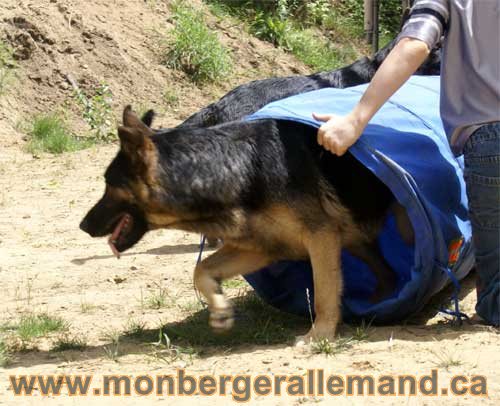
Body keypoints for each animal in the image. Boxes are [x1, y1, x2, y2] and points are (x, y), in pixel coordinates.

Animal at [80, 107, 412, 342]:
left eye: (108, 185)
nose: (83, 225)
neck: (233, 168)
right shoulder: (263, 247)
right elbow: (201, 270)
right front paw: (220, 310)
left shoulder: (321, 236)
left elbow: (324, 292)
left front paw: (319, 335)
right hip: (355, 238)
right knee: (386, 270)